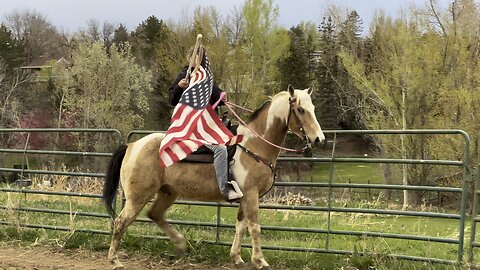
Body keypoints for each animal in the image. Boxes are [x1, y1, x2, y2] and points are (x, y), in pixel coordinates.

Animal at [102, 85, 324, 268]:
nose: (319, 139)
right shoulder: (251, 195)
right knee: (121, 222)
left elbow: (241, 226)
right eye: (301, 110)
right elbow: (254, 227)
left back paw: (180, 244)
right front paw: (260, 261)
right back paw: (114, 260)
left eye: (313, 108)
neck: (254, 145)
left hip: (167, 192)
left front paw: (237, 258)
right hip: (138, 197)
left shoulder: (245, 197)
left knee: (154, 214)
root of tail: (132, 145)